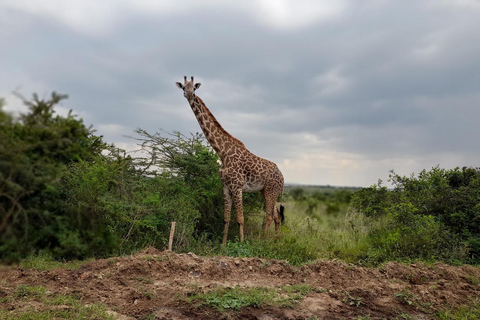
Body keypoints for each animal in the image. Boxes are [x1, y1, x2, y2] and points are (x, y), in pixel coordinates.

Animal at [176, 76, 284, 244]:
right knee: (276, 216)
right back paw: (276, 240)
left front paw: (241, 243)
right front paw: (222, 244)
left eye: (194, 88)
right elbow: (226, 218)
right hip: (265, 191)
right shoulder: (226, 186)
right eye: (183, 87)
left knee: (269, 216)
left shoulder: (237, 186)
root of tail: (283, 177)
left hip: (271, 191)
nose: (189, 95)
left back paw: (264, 241)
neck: (222, 153)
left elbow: (240, 218)